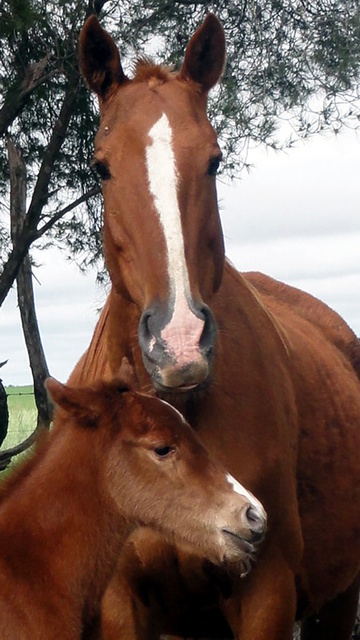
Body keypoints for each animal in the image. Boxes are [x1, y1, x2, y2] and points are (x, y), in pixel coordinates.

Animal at [74, 12, 360, 640]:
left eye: (216, 160)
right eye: (101, 166)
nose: (178, 342)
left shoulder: (265, 594)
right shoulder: (121, 601)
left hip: (340, 597)